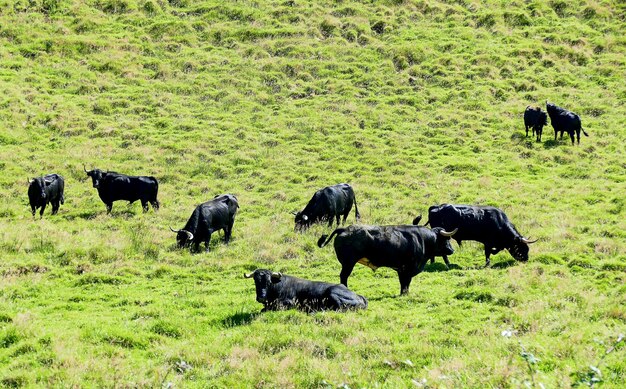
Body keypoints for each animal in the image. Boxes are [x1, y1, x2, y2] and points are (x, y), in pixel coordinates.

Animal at [320, 224, 456, 294]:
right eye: (446, 239)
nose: (452, 250)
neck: (421, 239)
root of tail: (345, 229)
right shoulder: (407, 268)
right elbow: (406, 282)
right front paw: (405, 294)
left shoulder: (401, 269)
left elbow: (403, 283)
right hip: (348, 263)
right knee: (344, 276)